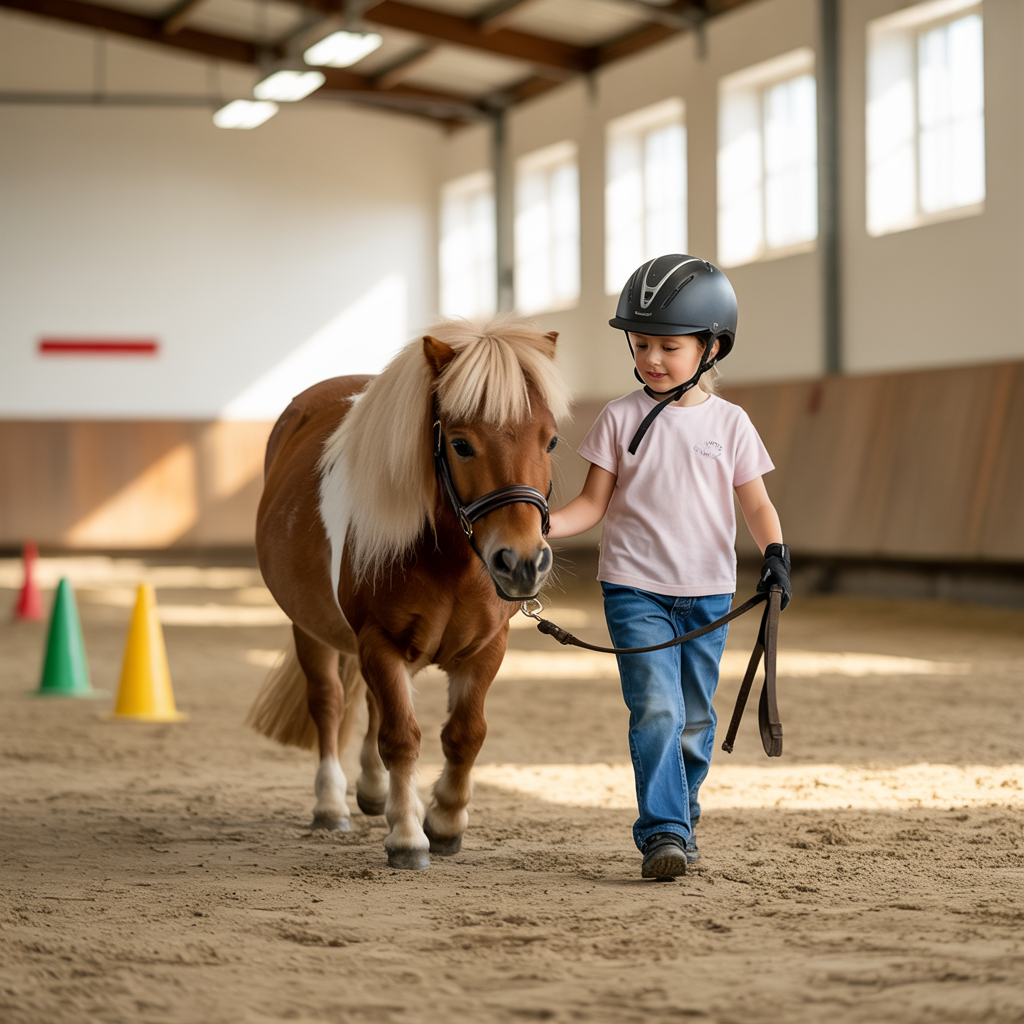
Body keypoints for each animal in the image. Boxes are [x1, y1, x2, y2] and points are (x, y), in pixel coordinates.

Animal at [247, 315, 571, 870]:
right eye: (461, 444)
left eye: (549, 442)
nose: (523, 563)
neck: (450, 561)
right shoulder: (378, 640)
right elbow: (401, 737)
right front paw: (407, 837)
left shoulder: (486, 648)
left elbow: (465, 734)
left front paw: (444, 823)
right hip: (310, 630)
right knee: (329, 702)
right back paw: (331, 805)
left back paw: (375, 793)